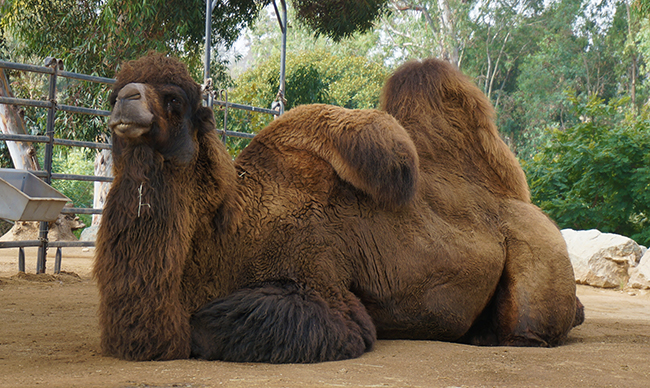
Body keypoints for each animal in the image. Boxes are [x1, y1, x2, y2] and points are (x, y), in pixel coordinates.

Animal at [92, 54, 584, 364]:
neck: (230, 229)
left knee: (530, 329)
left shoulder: (318, 276)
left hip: (537, 249)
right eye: (113, 92)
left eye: (175, 99)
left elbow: (210, 325)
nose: (126, 100)